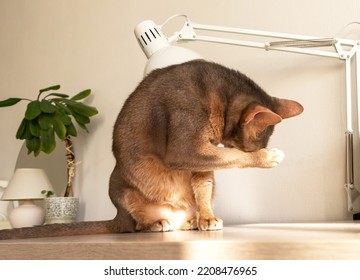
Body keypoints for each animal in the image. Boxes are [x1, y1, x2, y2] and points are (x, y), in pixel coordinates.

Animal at [0, 59, 304, 238]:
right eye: (252, 144)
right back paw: (154, 224)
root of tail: (117, 219)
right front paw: (268, 156)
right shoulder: (186, 148)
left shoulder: (200, 161)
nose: (262, 149)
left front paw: (207, 217)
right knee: (134, 224)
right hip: (121, 189)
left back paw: (191, 221)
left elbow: (204, 186)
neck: (216, 94)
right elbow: (232, 157)